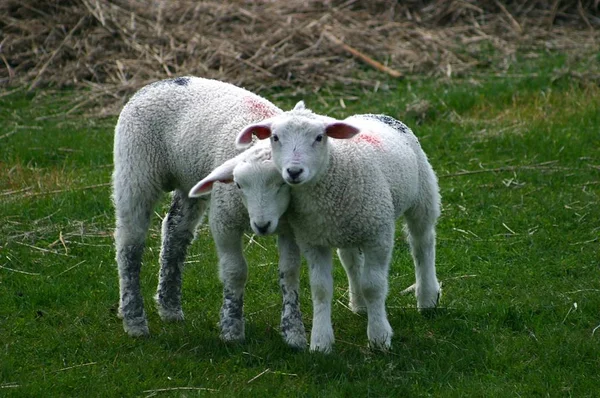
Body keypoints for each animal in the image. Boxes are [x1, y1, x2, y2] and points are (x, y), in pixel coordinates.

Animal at [112, 75, 308, 348]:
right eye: (238, 184)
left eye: (282, 183)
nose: (262, 226)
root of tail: (159, 82)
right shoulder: (224, 219)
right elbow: (235, 271)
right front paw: (232, 330)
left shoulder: (290, 226)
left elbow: (289, 273)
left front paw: (294, 333)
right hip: (136, 169)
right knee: (129, 244)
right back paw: (134, 320)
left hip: (189, 180)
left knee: (175, 232)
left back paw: (168, 307)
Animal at [236, 102, 440, 352]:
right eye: (275, 137)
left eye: (319, 137)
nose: (294, 172)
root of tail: (377, 114)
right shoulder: (312, 240)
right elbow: (320, 289)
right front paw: (320, 342)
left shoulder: (379, 235)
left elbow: (373, 286)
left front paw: (379, 337)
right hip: (348, 228)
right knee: (351, 261)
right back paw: (359, 304)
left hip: (423, 194)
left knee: (423, 244)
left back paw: (427, 298)